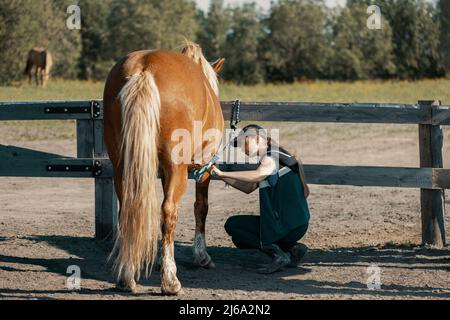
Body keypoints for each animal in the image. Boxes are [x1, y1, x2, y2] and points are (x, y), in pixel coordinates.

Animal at [103, 40, 227, 296]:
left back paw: (127, 276)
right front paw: (201, 255)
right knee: (169, 212)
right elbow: (201, 208)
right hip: (176, 169)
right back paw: (170, 281)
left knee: (128, 210)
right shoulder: (204, 170)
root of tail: (145, 68)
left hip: (121, 166)